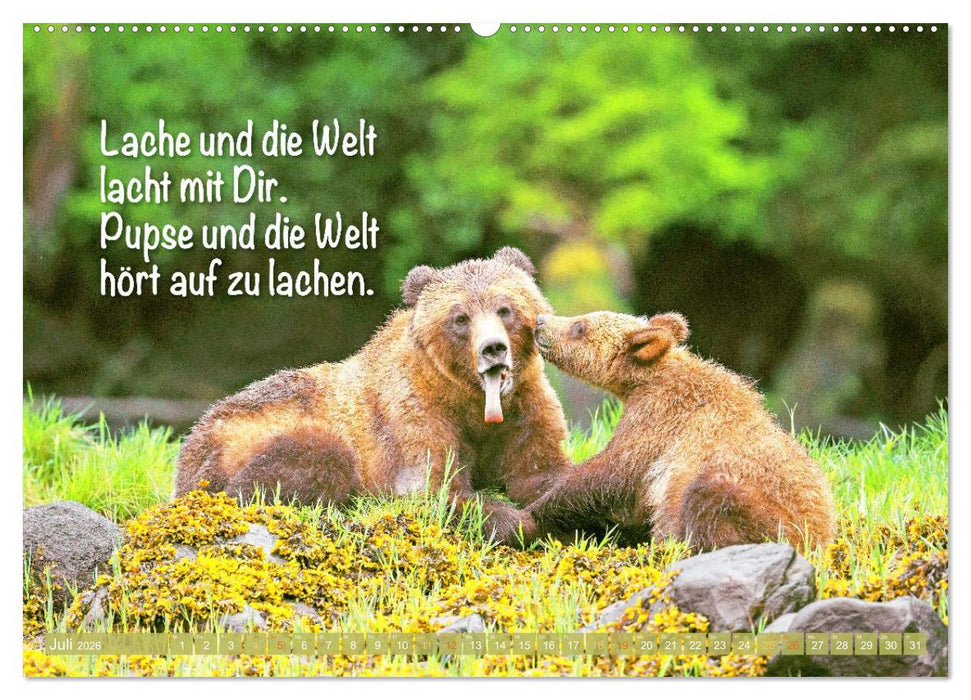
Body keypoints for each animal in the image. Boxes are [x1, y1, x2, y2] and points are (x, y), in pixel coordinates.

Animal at [175, 247, 571, 545]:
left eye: (505, 309)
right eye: (460, 318)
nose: (492, 348)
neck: (473, 401)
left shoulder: (525, 407)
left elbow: (541, 468)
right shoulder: (417, 414)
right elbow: (431, 486)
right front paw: (517, 520)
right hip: (244, 439)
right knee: (318, 457)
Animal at [528, 310, 836, 550]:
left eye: (579, 326)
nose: (540, 320)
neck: (645, 380)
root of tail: (822, 540)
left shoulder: (657, 419)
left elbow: (613, 472)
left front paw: (538, 507)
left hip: (769, 512)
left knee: (710, 500)